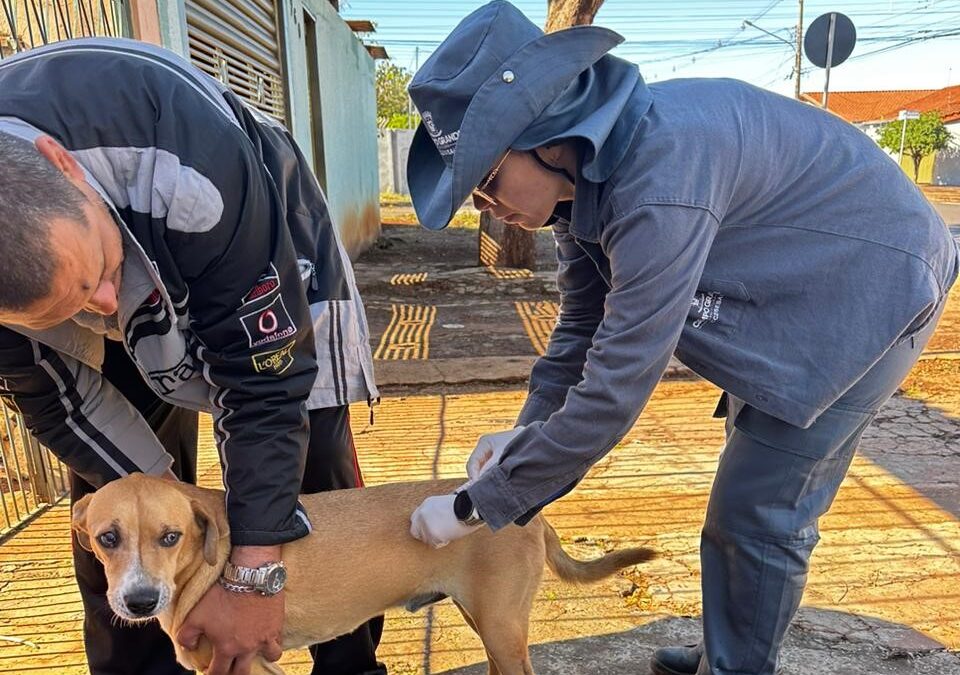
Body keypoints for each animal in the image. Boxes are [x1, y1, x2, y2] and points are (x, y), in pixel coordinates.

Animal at [71, 476, 648, 675]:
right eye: (107, 538)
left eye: (170, 537)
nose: (140, 601)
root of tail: (530, 513)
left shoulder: (242, 663)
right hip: (487, 623)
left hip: (503, 629)